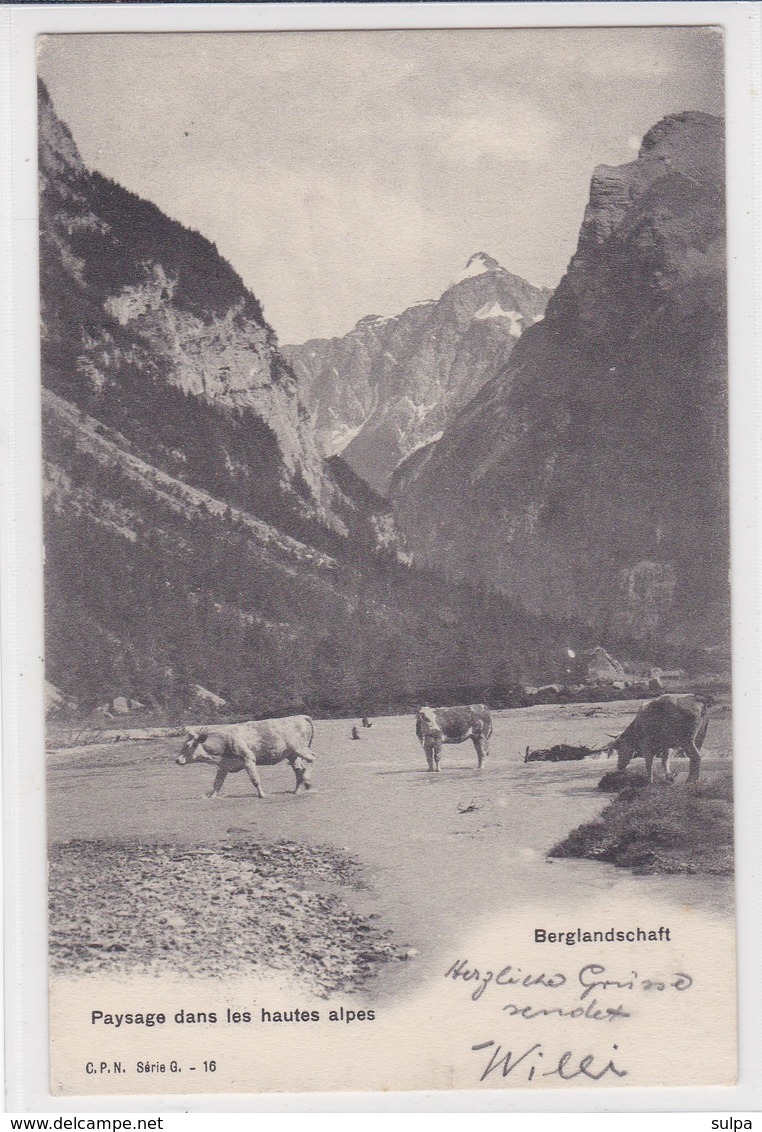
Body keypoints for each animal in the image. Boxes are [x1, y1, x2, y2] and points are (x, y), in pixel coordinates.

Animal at [175, 715, 314, 796]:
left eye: (189, 745)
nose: (177, 760)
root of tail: (301, 716)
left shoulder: (249, 759)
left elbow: (255, 780)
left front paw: (262, 795)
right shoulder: (223, 766)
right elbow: (217, 784)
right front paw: (212, 797)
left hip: (300, 749)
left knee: (312, 759)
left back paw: (307, 782)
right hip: (292, 755)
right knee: (299, 770)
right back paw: (297, 790)